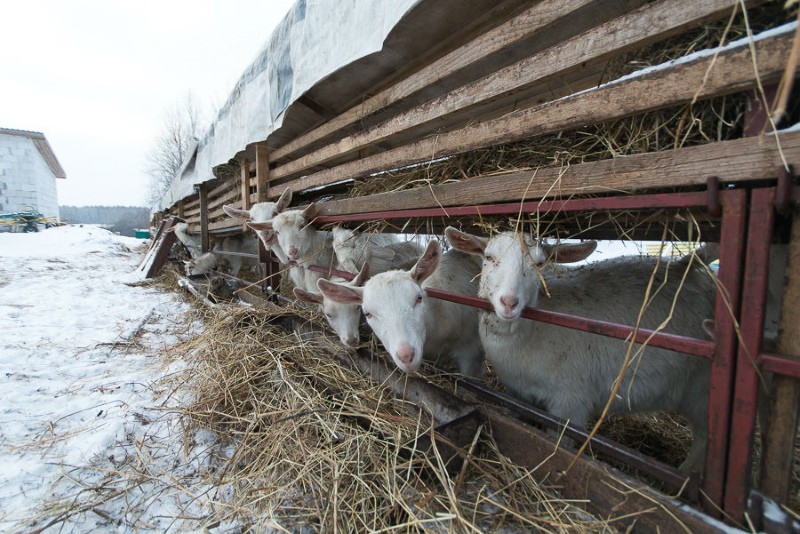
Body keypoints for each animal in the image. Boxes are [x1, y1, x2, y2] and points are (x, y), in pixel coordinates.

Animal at [446, 226, 716, 474]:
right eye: (489, 256)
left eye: (540, 264)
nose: (509, 303)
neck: (532, 331)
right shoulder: (518, 393)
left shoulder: (570, 404)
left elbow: (559, 444)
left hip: (702, 389)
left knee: (704, 439)